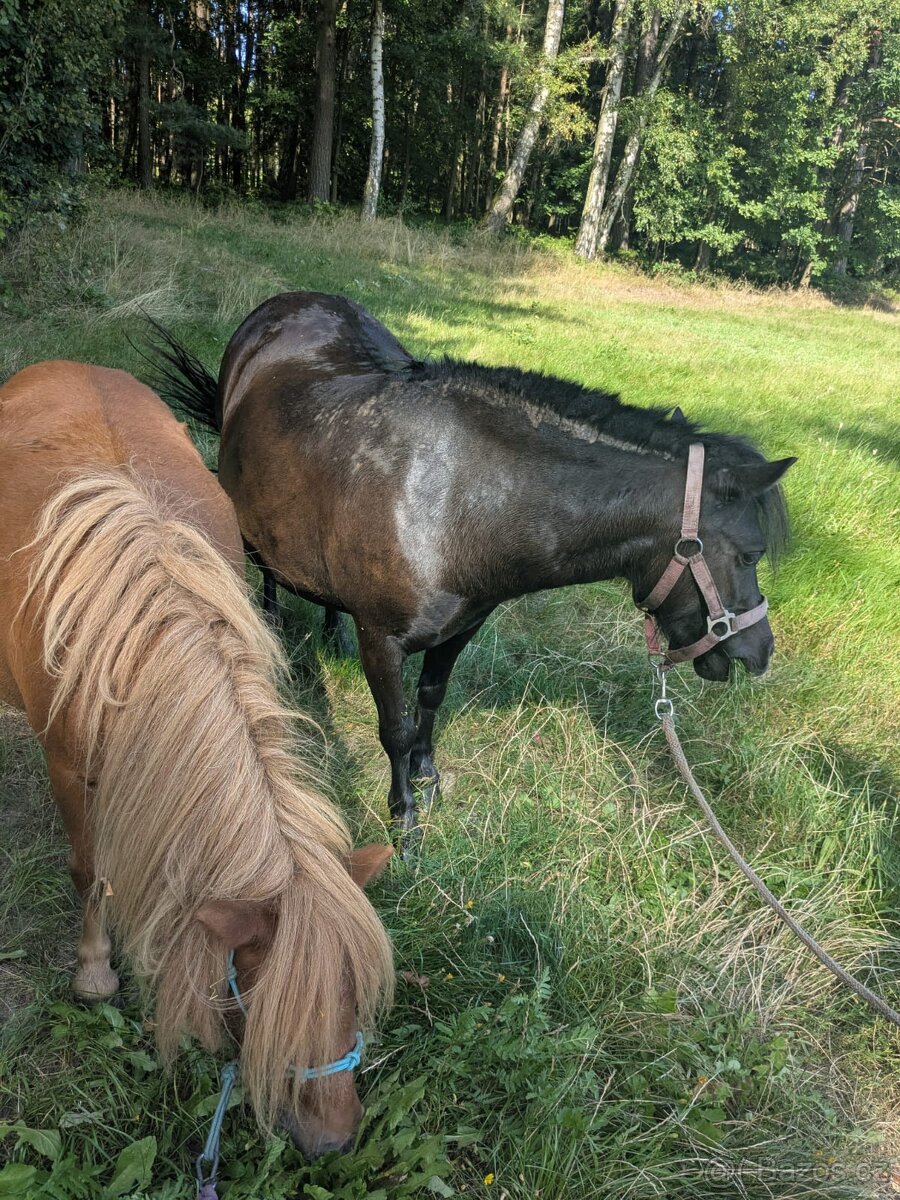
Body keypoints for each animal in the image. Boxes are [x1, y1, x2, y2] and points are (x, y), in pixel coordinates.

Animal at [0, 361, 394, 1158]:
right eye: (271, 1007)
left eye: (351, 997)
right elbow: (88, 869)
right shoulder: (69, 771)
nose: (336, 1140)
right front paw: (95, 970)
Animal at [150, 292, 795, 837]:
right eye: (749, 554)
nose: (760, 654)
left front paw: (427, 773)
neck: (454, 500)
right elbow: (394, 726)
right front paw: (404, 817)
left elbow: (431, 699)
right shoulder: (382, 640)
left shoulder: (462, 628)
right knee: (264, 569)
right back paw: (271, 620)